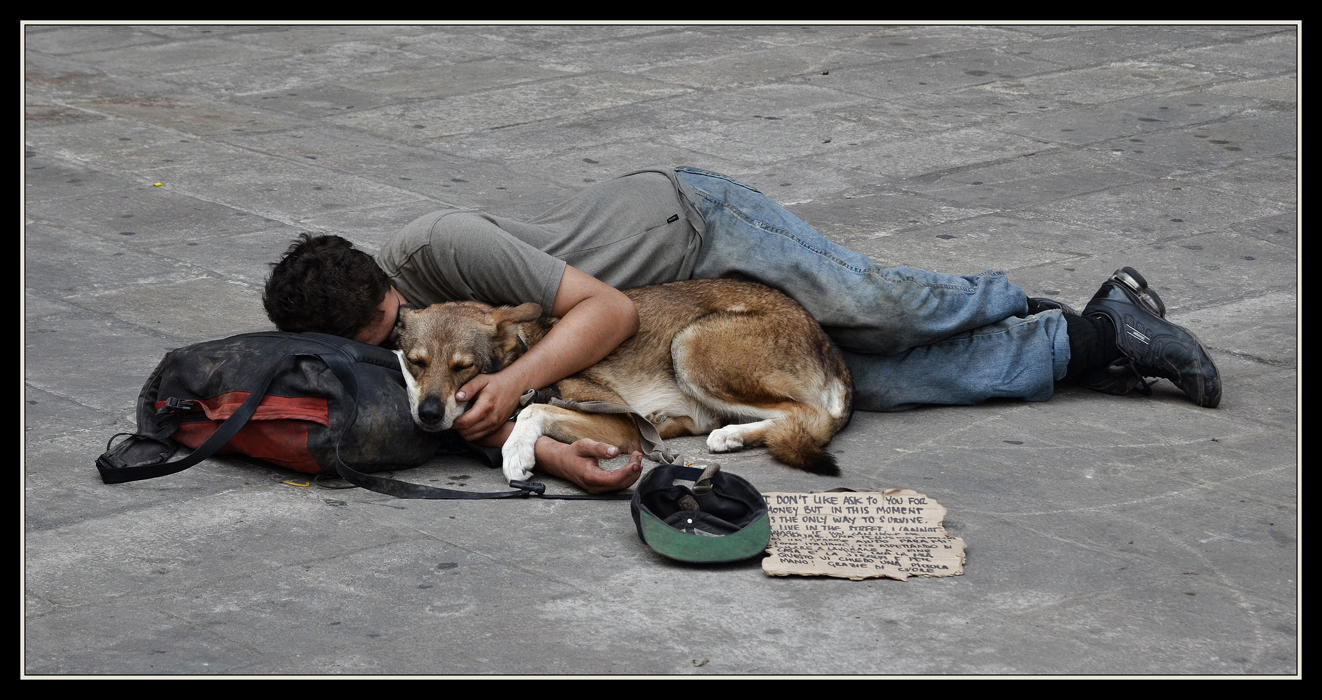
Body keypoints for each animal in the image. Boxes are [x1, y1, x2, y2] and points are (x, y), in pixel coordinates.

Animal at [386, 274, 851, 483]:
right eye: (417, 362)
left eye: (463, 367)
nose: (429, 415)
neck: (524, 359)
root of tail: (828, 343)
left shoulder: (620, 423)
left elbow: (534, 411)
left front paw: (517, 451)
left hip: (690, 346)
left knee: (805, 416)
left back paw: (731, 433)